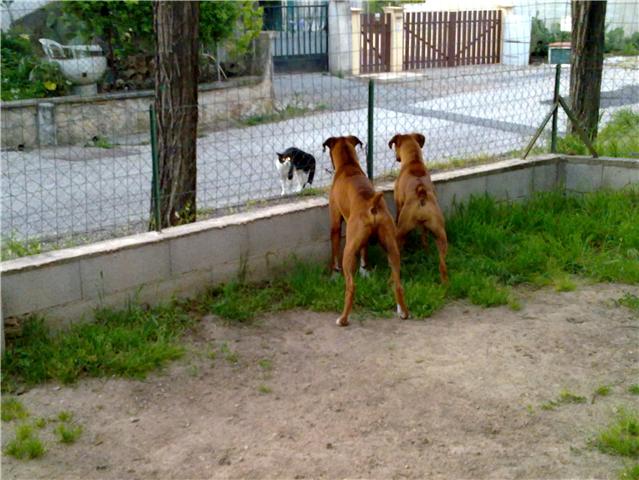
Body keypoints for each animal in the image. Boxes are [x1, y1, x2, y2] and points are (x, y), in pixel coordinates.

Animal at [323, 135, 409, 327]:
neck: (348, 165)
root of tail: (372, 204)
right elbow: (364, 252)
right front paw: (365, 270)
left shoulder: (335, 224)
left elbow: (333, 250)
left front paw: (333, 274)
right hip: (393, 249)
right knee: (398, 284)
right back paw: (403, 312)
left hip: (348, 251)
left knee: (351, 287)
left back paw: (343, 319)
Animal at [388, 133, 448, 283]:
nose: (397, 158)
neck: (414, 160)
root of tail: (421, 192)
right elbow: (424, 236)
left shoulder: (399, 206)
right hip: (441, 235)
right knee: (442, 264)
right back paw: (445, 281)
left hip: (401, 232)